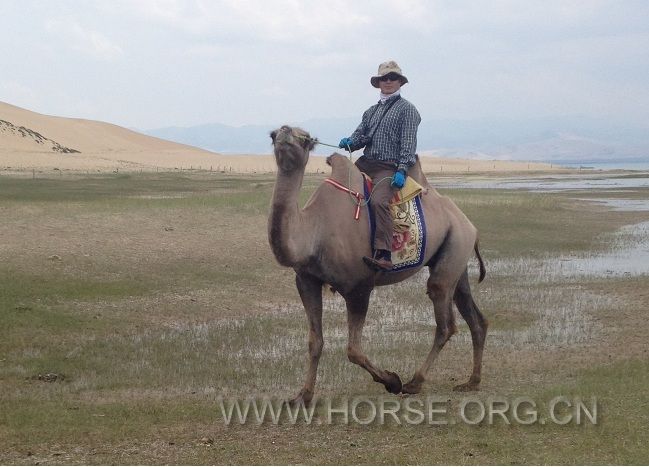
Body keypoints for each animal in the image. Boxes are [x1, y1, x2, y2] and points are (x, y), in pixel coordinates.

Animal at [268, 125, 486, 406]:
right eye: (273, 135)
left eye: (305, 138)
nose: (284, 132)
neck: (314, 231)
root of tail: (469, 224)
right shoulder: (306, 280)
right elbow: (315, 342)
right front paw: (302, 396)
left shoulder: (359, 287)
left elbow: (353, 350)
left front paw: (392, 381)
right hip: (456, 256)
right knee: (475, 317)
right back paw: (472, 381)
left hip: (454, 247)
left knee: (444, 319)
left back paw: (415, 382)